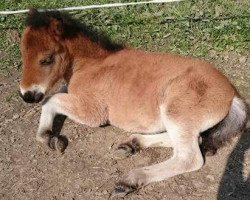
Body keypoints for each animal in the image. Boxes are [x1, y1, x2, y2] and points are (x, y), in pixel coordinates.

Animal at [19, 9, 248, 195]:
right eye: (22, 54)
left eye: (46, 59)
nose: (26, 95)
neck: (91, 64)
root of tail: (232, 94)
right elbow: (54, 96)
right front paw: (49, 136)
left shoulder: (93, 111)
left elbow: (51, 100)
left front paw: (49, 137)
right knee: (195, 140)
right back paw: (132, 144)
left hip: (176, 110)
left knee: (189, 157)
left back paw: (131, 179)